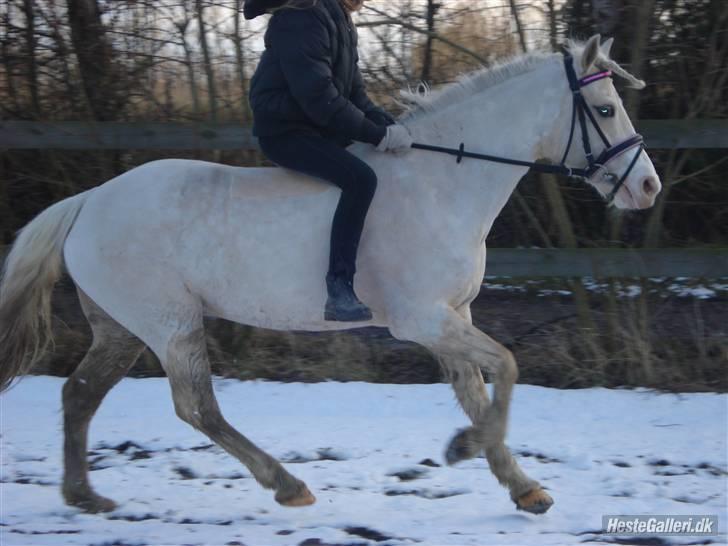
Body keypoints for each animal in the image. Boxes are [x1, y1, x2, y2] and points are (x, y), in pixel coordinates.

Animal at [0, 35, 660, 516]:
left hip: (121, 328)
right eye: (605, 109)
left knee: (80, 393)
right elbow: (508, 367)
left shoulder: (453, 316)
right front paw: (463, 449)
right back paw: (287, 484)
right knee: (196, 407)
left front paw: (522, 487)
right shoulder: (422, 320)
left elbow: (477, 391)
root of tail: (89, 201)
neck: (443, 183)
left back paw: (84, 496)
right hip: (170, 323)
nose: (648, 188)